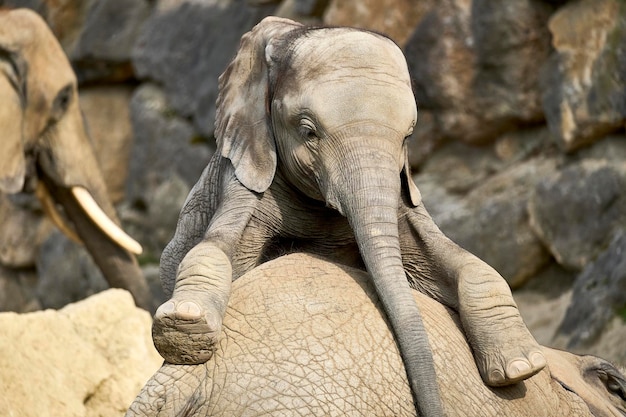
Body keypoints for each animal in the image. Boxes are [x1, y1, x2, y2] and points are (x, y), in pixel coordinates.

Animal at [154, 15, 544, 412]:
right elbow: (218, 248)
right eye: (308, 131)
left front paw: (521, 367)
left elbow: (459, 259)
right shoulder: (248, 166)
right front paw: (184, 324)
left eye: (408, 136)